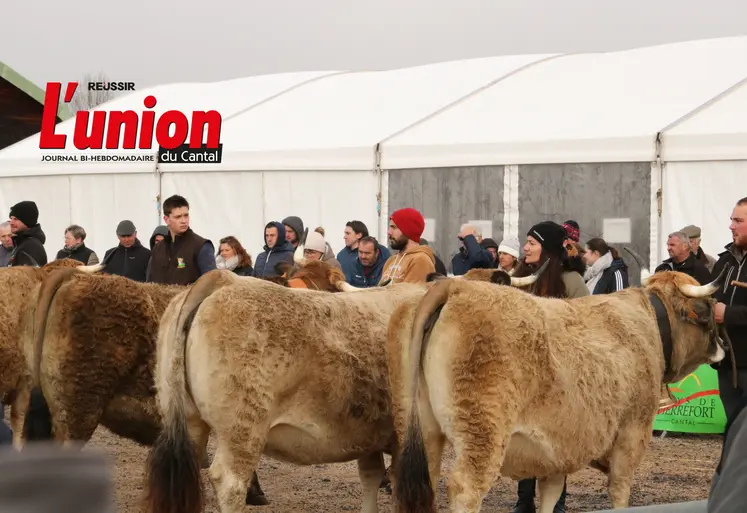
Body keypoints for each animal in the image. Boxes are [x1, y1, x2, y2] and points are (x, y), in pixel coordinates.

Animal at [387, 266, 730, 513]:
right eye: (707, 310)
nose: (723, 348)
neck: (647, 322)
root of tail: (456, 287)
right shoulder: (632, 432)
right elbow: (620, 491)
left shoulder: (557, 450)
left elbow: (551, 496)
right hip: (481, 434)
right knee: (465, 489)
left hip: (423, 430)